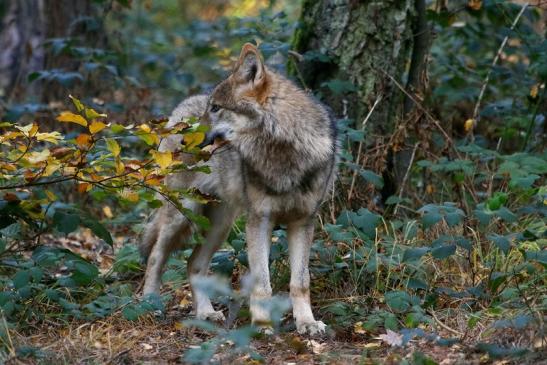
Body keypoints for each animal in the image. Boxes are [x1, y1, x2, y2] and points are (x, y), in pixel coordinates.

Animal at [140, 42, 338, 336]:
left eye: (216, 108)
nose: (185, 139)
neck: (285, 154)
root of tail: (177, 111)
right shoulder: (259, 221)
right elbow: (262, 283)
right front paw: (262, 325)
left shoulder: (303, 221)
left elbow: (300, 281)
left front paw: (307, 323)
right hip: (182, 215)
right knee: (155, 257)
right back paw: (149, 304)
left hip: (219, 225)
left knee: (193, 264)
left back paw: (206, 313)